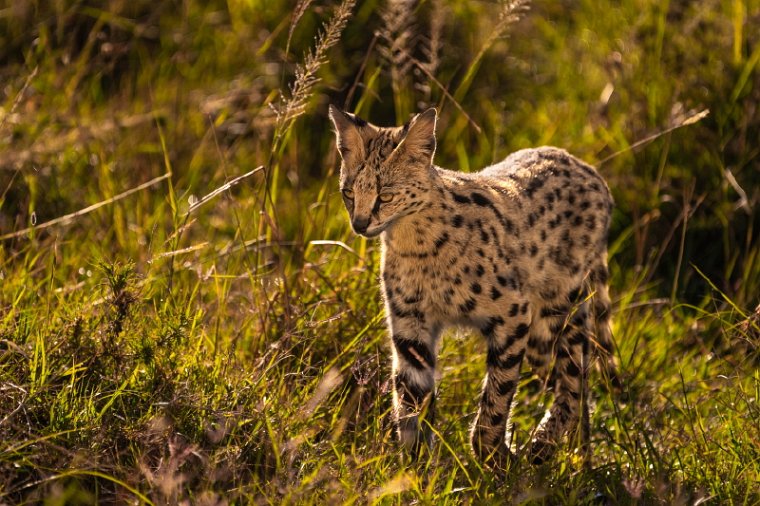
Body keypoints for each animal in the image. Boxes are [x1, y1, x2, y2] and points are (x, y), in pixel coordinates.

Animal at [328, 105, 616, 468]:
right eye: (348, 193)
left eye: (386, 195)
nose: (360, 224)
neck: (415, 242)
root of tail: (588, 169)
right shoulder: (410, 327)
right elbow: (410, 405)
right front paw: (414, 470)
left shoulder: (513, 314)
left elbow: (497, 396)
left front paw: (494, 460)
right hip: (541, 338)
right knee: (573, 381)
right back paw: (576, 456)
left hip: (555, 311)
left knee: (573, 380)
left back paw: (545, 447)